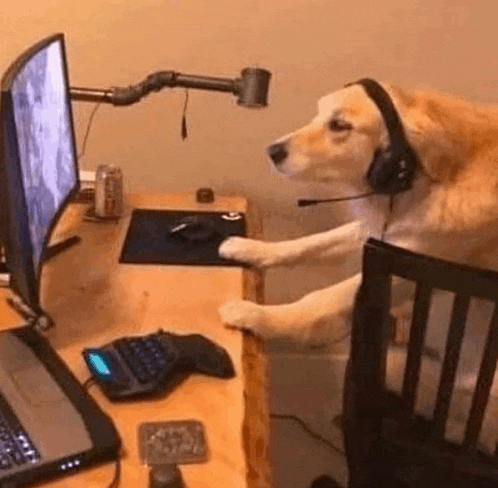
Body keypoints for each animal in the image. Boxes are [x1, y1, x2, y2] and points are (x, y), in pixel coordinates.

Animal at [218, 79, 498, 450]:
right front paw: (250, 248)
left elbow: (320, 299)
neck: (429, 180)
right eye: (318, 114)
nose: (272, 151)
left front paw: (258, 315)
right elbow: (310, 243)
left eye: (339, 125)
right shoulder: (382, 233)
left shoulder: (407, 266)